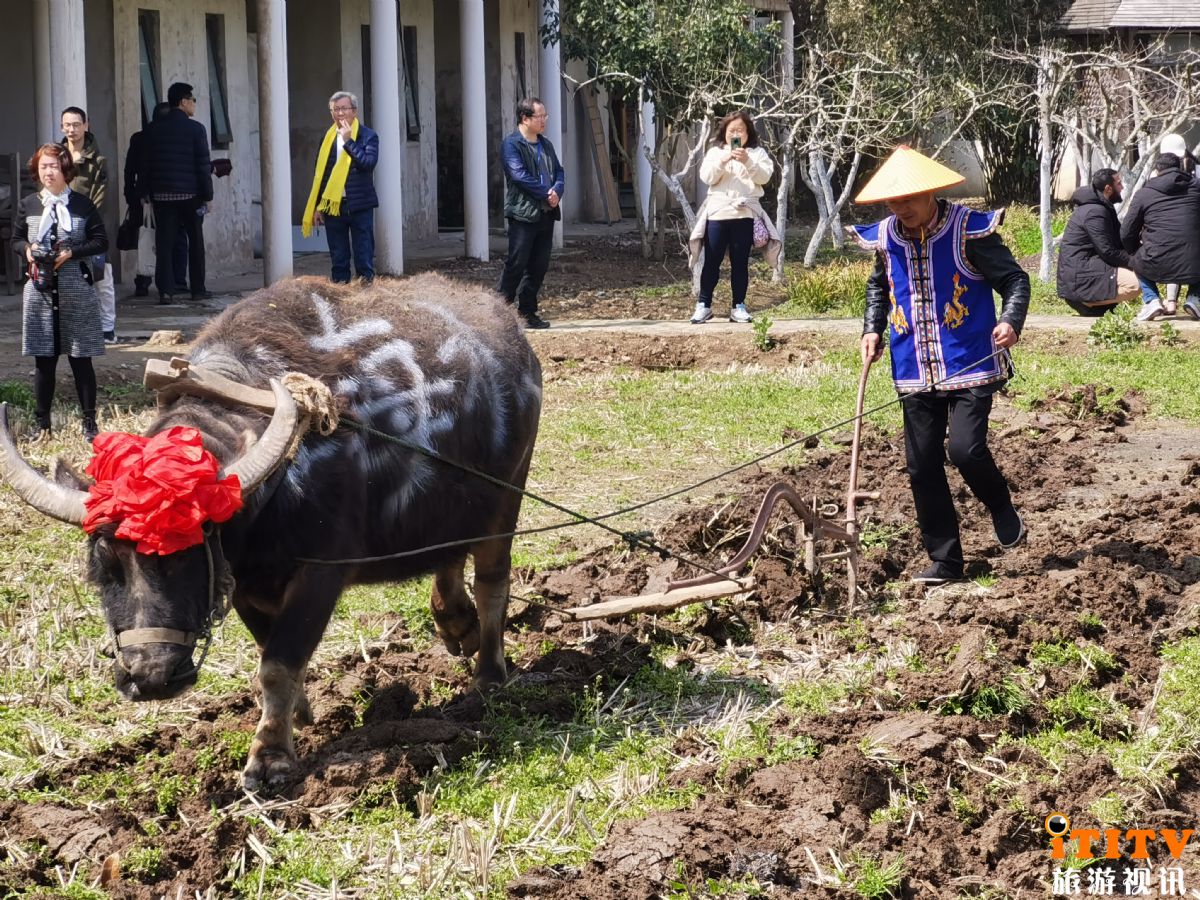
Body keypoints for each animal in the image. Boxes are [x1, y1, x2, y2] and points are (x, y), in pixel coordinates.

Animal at [0, 274, 542, 791]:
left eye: (188, 552)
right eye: (104, 563)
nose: (151, 677)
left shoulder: (320, 573)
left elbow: (280, 662)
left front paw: (270, 759)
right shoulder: (243, 583)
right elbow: (267, 651)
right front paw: (300, 713)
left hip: (508, 496)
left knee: (492, 581)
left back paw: (488, 675)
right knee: (450, 554)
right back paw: (456, 626)